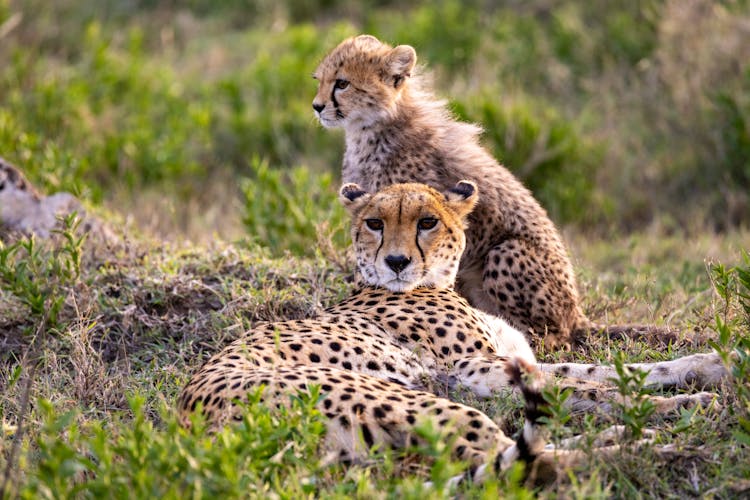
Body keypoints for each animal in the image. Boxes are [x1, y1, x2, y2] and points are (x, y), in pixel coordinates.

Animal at [179, 182, 724, 482]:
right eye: (374, 223)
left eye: (427, 222)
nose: (397, 262)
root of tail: (198, 426)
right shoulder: (471, 371)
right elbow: (583, 386)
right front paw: (684, 405)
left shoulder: (511, 359)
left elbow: (605, 370)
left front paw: (716, 365)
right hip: (415, 400)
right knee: (519, 465)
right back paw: (653, 447)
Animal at [312, 35, 676, 350]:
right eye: (319, 79)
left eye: (342, 83)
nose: (316, 106)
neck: (372, 128)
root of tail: (577, 314)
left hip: (506, 252)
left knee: (555, 337)